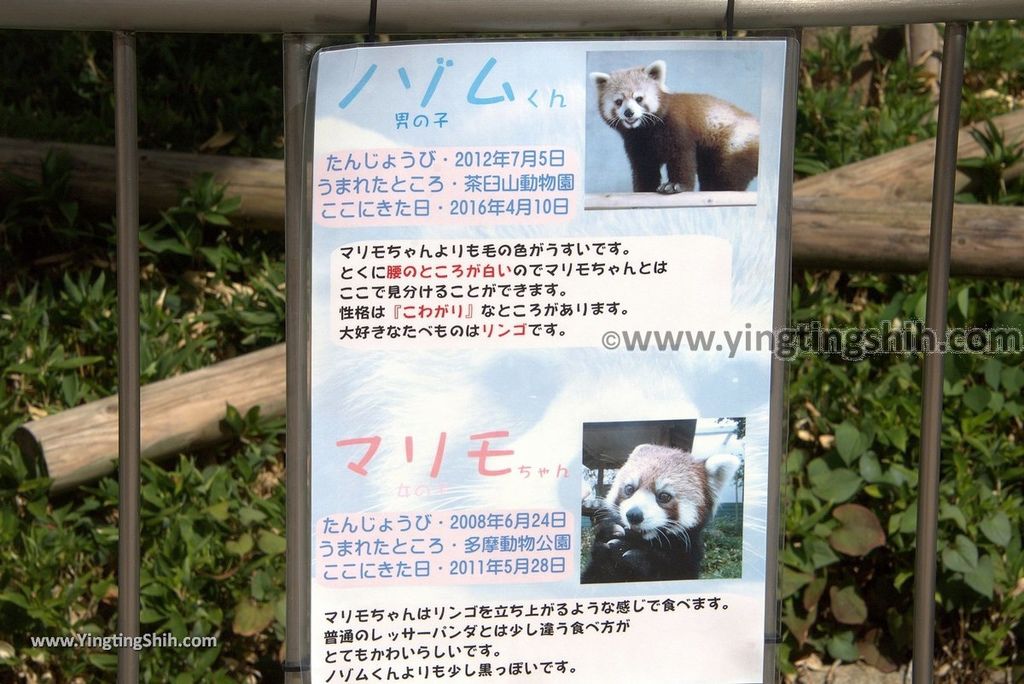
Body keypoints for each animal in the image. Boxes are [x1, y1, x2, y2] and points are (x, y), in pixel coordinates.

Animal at [585, 444, 737, 581]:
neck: (640, 541)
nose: (633, 515)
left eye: (664, 496)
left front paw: (637, 559)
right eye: (629, 489)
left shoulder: (688, 557)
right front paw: (608, 532)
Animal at [593, 60, 761, 192]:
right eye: (618, 102)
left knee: (730, 172)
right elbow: (644, 166)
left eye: (639, 99)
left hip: (736, 141)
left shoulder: (677, 127)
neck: (646, 130)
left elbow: (681, 157)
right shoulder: (636, 142)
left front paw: (675, 185)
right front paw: (643, 189)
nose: (628, 112)